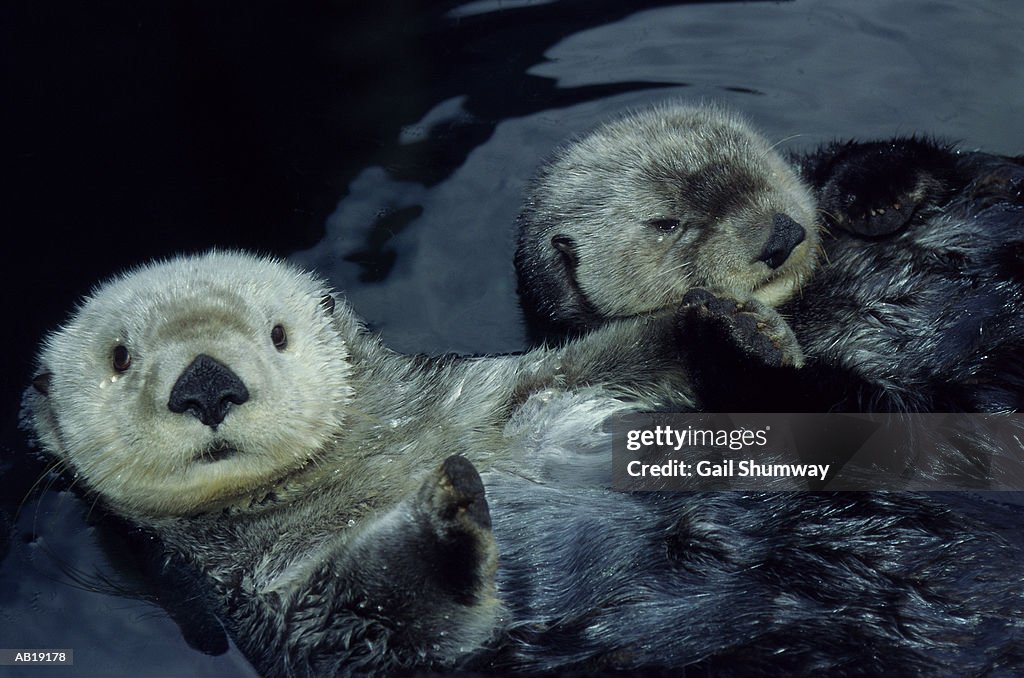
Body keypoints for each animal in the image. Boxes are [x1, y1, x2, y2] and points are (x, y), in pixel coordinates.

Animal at [22, 251, 1024, 675]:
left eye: (275, 334)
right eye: (119, 357)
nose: (206, 383)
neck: (371, 462)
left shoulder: (515, 396)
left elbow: (623, 360)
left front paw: (727, 323)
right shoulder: (282, 600)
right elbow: (392, 616)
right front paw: (449, 512)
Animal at [516, 104, 1024, 413]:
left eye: (756, 168)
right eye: (666, 224)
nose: (781, 235)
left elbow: (920, 157)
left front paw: (872, 199)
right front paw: (741, 334)